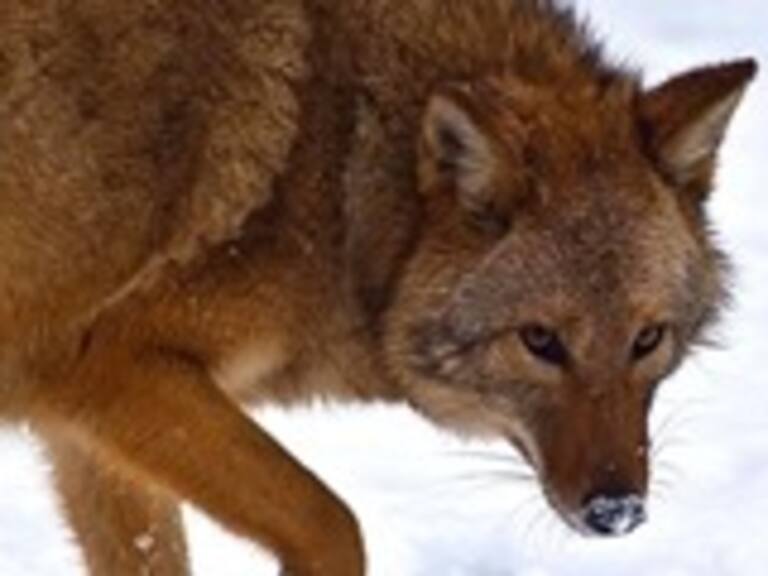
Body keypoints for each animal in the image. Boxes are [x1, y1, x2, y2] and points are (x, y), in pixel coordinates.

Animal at [0, 0, 757, 574]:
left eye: (648, 339)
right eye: (540, 341)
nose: (616, 512)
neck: (340, 170)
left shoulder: (83, 427)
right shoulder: (112, 366)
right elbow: (331, 521)